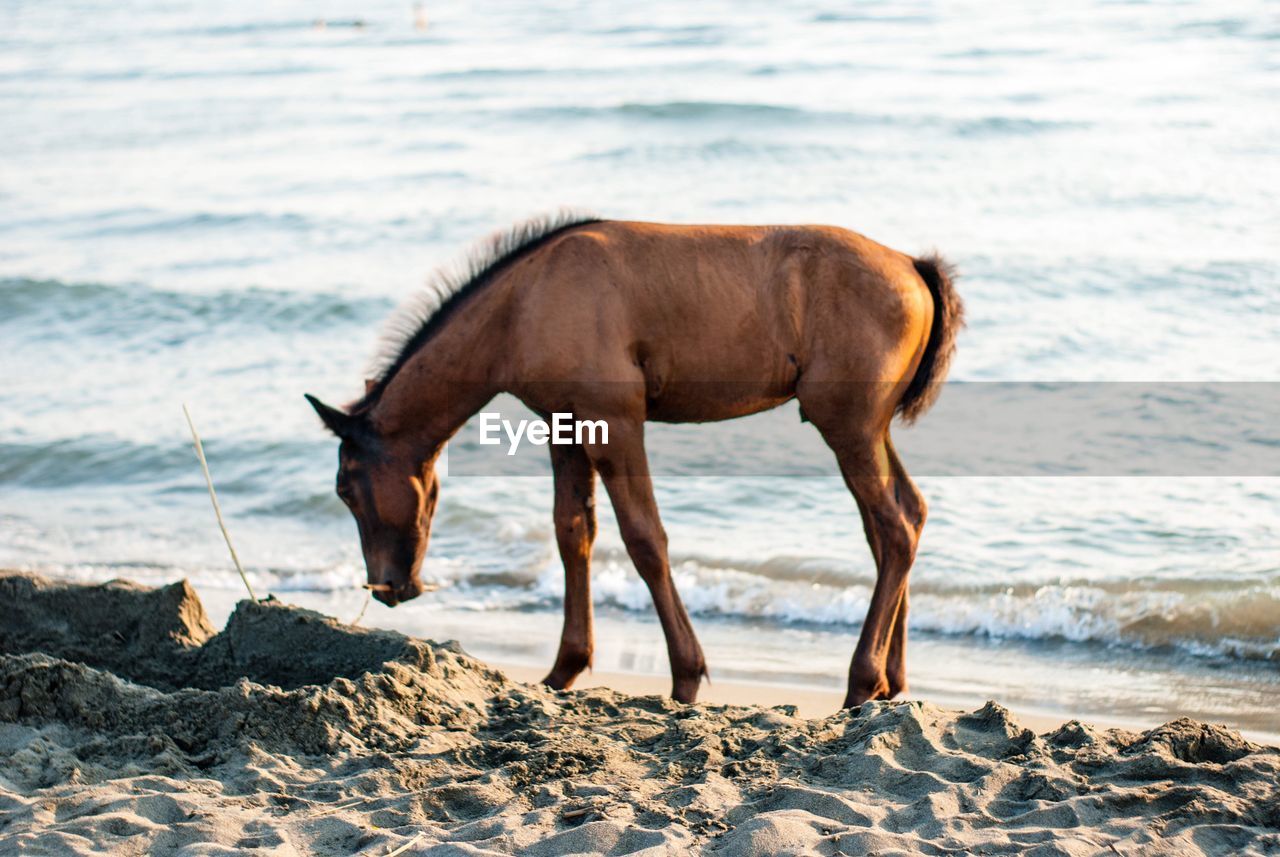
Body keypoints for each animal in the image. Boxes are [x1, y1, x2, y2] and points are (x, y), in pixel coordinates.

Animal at [307, 211, 962, 706]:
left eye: (346, 489)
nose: (387, 587)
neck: (525, 304)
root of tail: (912, 265)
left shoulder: (617, 424)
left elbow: (645, 539)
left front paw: (686, 676)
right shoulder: (566, 426)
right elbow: (573, 533)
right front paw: (565, 669)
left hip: (847, 428)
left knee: (894, 527)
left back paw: (860, 682)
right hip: (867, 430)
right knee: (902, 519)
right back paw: (889, 682)